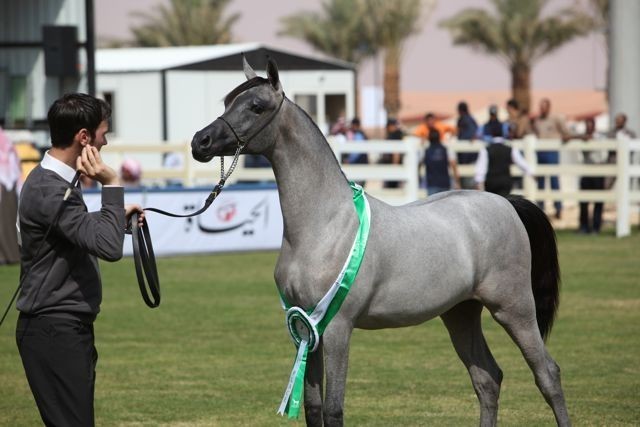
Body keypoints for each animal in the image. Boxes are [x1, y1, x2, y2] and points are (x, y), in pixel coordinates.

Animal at [190, 58, 570, 427]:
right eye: (228, 101)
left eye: (256, 106)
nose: (200, 142)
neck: (324, 224)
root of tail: (507, 202)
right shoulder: (305, 329)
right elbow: (314, 409)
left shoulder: (336, 328)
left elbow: (333, 409)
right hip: (460, 313)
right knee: (487, 379)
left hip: (514, 309)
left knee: (548, 375)